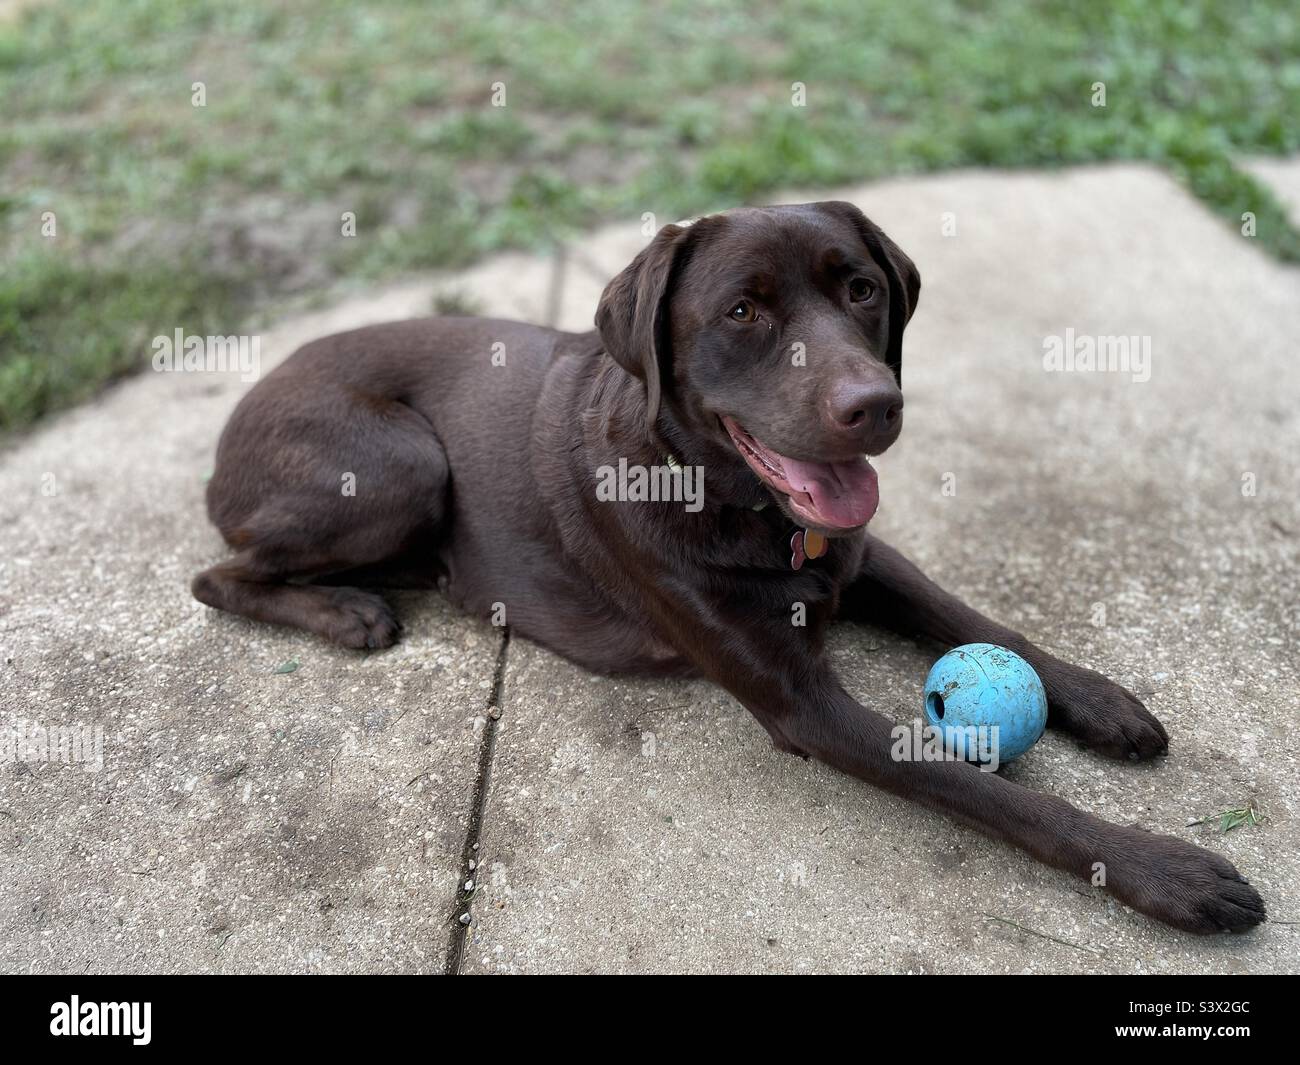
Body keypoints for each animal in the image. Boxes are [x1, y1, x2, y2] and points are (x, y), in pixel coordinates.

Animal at [197, 200, 1263, 931]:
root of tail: (235, 413)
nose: (875, 404)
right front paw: (1163, 871)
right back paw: (349, 611)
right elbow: (994, 792)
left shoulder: (858, 554)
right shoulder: (805, 705)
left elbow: (971, 615)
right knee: (213, 579)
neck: (734, 501)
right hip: (401, 465)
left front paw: (1099, 698)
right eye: (743, 311)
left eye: (861, 289)